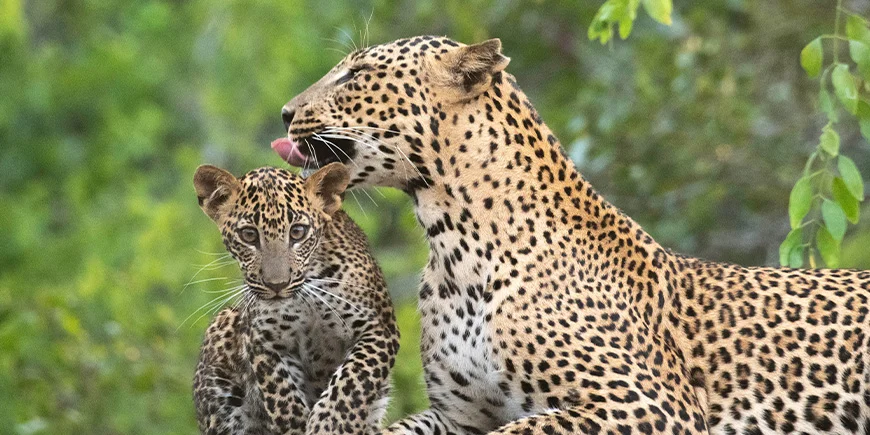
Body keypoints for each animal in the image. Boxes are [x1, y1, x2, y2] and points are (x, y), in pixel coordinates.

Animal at [192, 162, 399, 435]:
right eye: (248, 235)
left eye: (298, 232)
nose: (277, 285)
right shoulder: (264, 342)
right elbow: (282, 398)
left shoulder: (379, 328)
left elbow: (354, 378)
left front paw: (329, 424)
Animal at [273, 35, 870, 435]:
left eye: (355, 75)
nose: (284, 113)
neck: (455, 246)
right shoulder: (459, 416)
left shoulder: (650, 404)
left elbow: (522, 429)